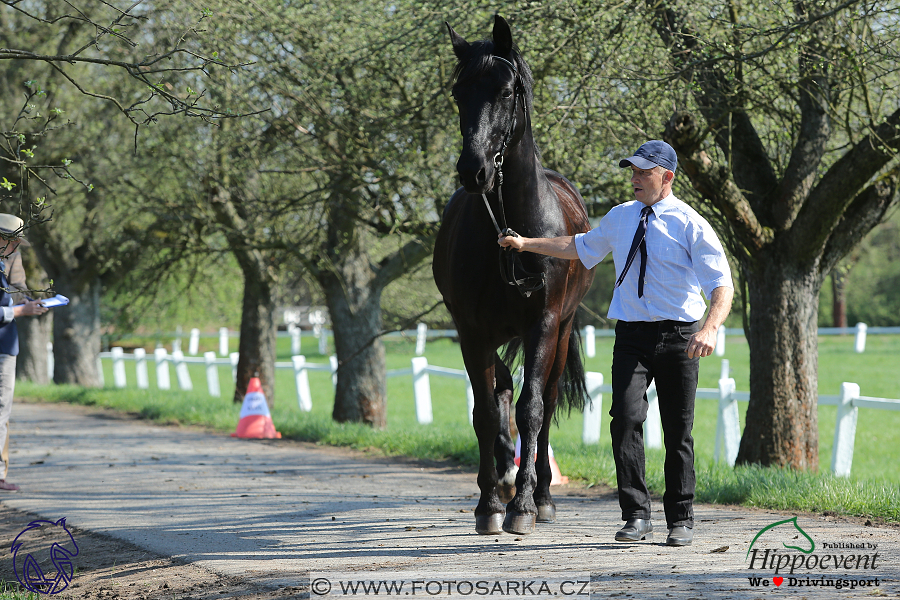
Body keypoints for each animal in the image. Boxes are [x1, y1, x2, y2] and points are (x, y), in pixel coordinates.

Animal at [432, 16, 596, 536]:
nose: (474, 171)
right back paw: (506, 479)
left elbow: (533, 410)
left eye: (506, 91)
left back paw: (539, 496)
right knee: (503, 389)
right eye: (458, 92)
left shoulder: (542, 324)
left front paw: (523, 506)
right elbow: (486, 411)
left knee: (544, 402)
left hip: (560, 332)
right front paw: (488, 504)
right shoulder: (470, 329)